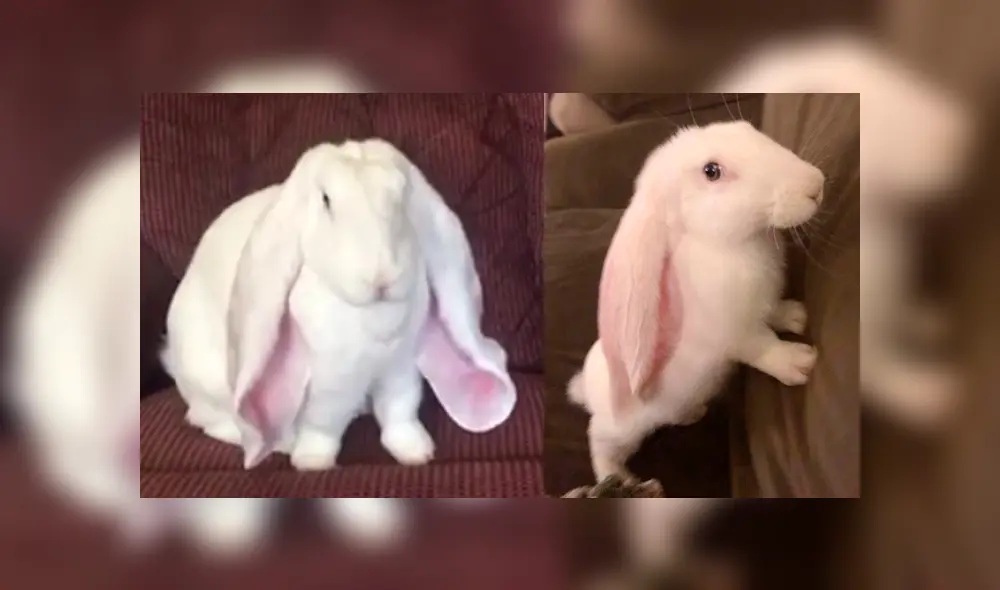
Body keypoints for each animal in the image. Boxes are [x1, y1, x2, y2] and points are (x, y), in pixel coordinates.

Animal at [160, 137, 516, 473]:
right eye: (326, 200)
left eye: (401, 195)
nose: (382, 277)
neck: (372, 318)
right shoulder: (329, 382)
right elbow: (324, 424)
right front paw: (313, 462)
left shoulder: (400, 368)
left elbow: (400, 411)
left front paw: (417, 453)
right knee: (213, 421)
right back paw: (284, 444)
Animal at [567, 120, 825, 482]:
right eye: (711, 171)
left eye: (745, 128)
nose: (816, 185)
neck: (730, 244)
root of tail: (587, 392)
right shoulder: (735, 333)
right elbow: (763, 348)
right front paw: (799, 363)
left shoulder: (763, 304)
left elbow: (775, 312)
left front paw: (797, 316)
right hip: (622, 431)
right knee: (600, 442)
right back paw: (620, 479)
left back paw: (693, 412)